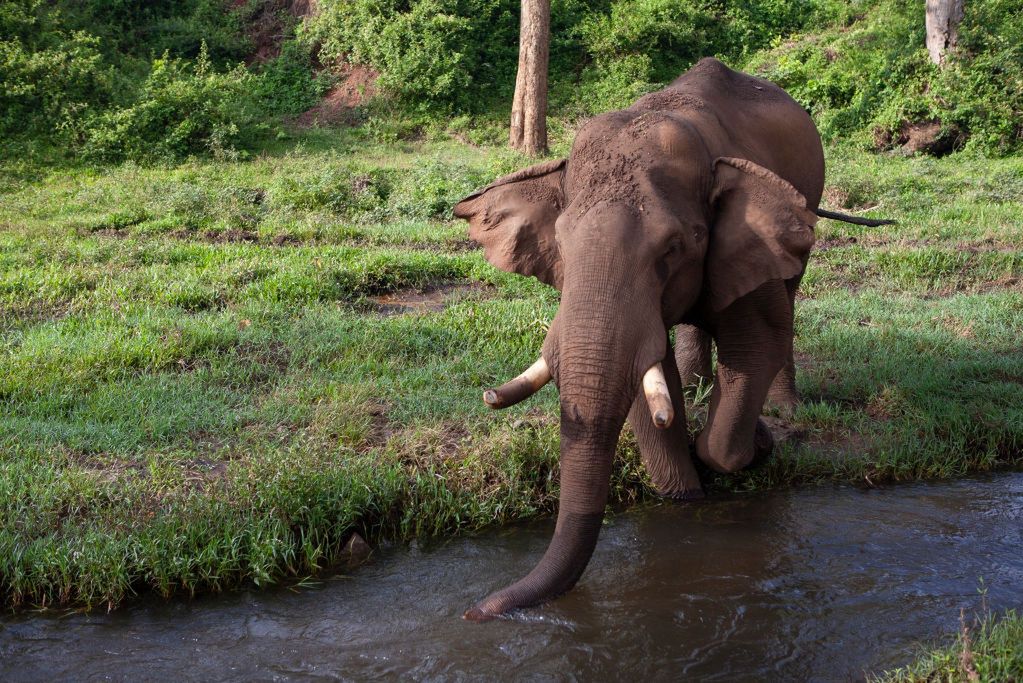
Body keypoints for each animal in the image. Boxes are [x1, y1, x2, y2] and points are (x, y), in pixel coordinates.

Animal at [452, 55, 883, 617]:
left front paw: (755, 442)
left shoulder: (747, 238)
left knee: (789, 295)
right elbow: (646, 378)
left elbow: (758, 343)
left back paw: (783, 408)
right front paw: (684, 496)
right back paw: (701, 387)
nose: (477, 610)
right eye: (560, 245)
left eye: (673, 248)